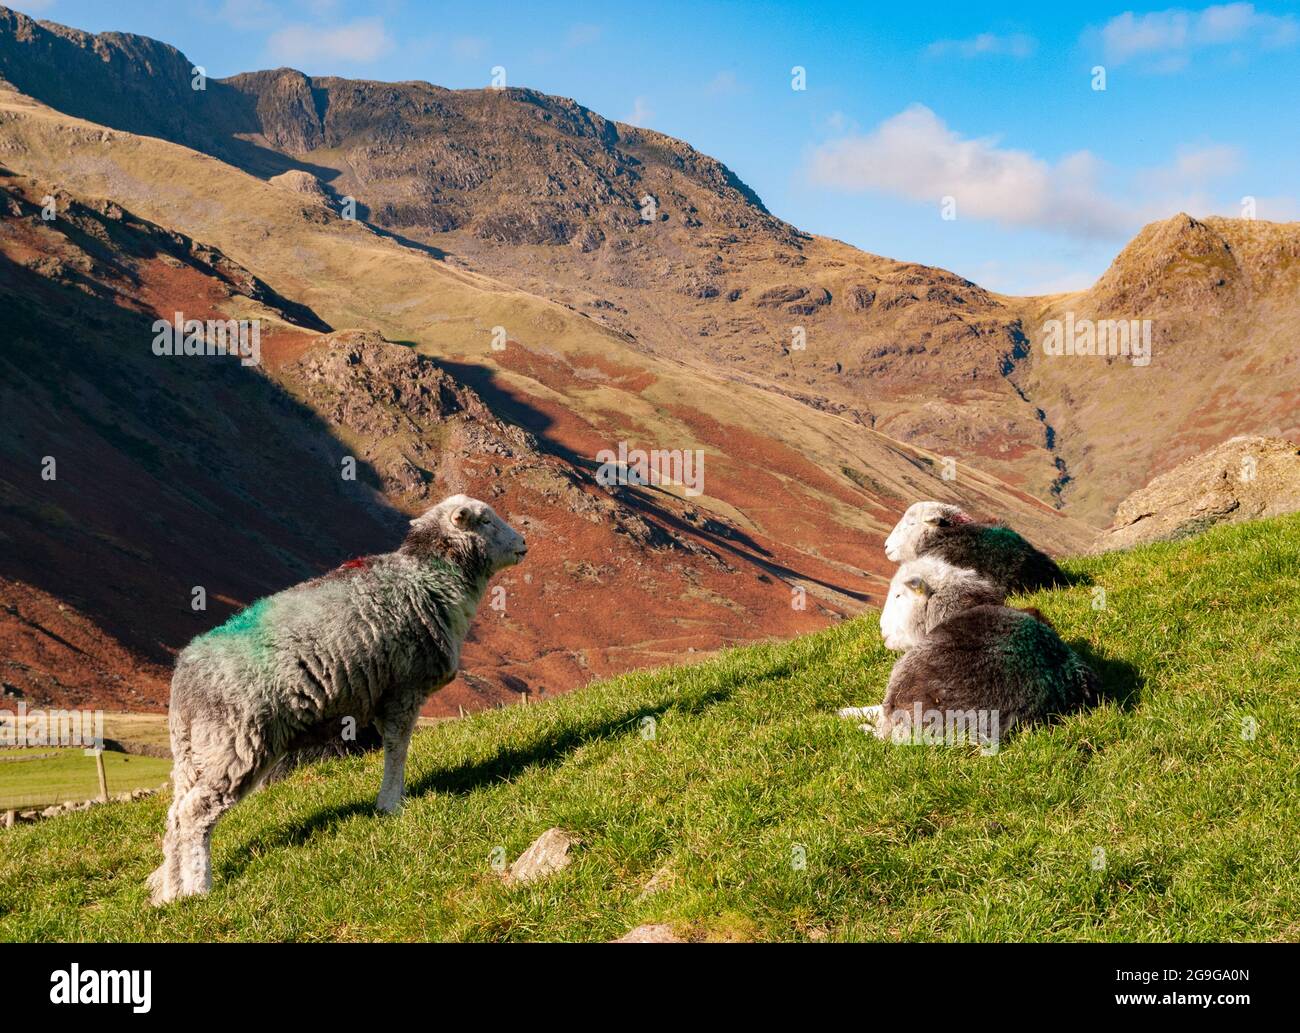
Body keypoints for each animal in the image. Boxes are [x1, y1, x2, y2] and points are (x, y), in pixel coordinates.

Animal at [147, 493, 522, 904]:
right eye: (485, 521)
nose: (523, 543)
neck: (427, 576)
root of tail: (184, 676)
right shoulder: (402, 689)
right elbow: (397, 747)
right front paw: (392, 804)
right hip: (234, 744)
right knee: (194, 813)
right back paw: (200, 888)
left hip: (194, 751)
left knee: (174, 815)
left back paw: (170, 892)